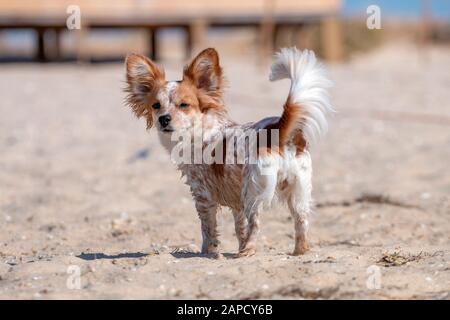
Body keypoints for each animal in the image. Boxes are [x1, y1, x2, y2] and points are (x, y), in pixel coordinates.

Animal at [125, 48, 332, 258]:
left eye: (184, 105)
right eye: (156, 106)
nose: (164, 119)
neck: (200, 129)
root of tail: (278, 129)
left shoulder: (203, 195)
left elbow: (208, 229)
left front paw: (208, 252)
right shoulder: (236, 202)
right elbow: (239, 228)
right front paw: (237, 245)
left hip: (253, 191)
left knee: (256, 223)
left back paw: (248, 251)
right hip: (298, 191)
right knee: (301, 221)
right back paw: (298, 251)